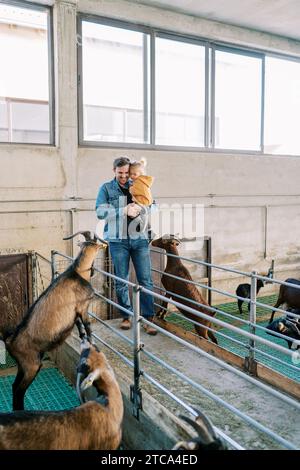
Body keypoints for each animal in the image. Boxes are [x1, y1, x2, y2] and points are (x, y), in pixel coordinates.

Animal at [5, 231, 107, 412]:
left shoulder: (75, 314)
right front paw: (95, 347)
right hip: (31, 365)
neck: (78, 272)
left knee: (14, 386)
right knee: (19, 390)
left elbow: (80, 329)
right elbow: (88, 328)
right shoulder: (83, 307)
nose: (105, 244)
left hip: (23, 366)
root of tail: (10, 342)